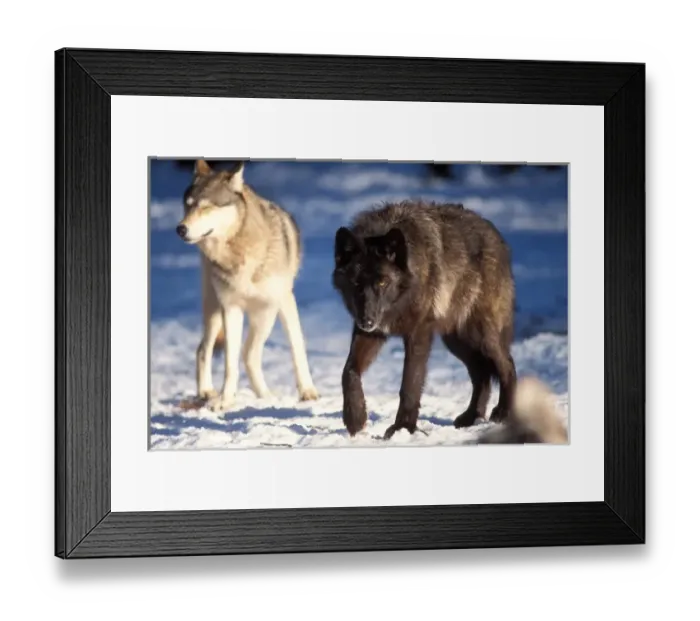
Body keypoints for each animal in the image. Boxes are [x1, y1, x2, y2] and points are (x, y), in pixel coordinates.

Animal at [176, 159, 319, 411]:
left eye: (206, 207)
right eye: (188, 206)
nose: (180, 229)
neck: (240, 254)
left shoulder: (276, 304)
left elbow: (287, 349)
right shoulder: (231, 309)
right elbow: (230, 362)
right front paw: (225, 401)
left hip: (274, 309)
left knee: (260, 352)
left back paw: (276, 396)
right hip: (215, 312)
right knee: (205, 349)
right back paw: (207, 391)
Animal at [332, 200, 516, 439]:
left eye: (382, 282)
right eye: (356, 283)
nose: (368, 320)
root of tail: (497, 237)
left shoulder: (418, 333)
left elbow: (410, 383)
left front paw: (403, 428)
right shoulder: (371, 333)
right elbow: (348, 371)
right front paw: (355, 418)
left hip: (481, 335)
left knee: (507, 365)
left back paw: (504, 411)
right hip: (456, 341)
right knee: (482, 375)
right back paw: (471, 417)